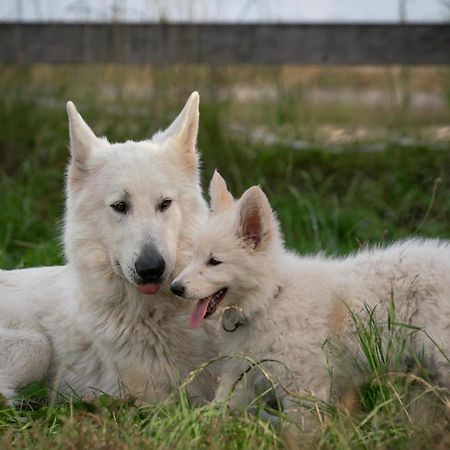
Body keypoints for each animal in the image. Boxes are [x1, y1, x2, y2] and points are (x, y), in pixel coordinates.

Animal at [0, 93, 218, 402]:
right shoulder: (154, 399)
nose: (151, 269)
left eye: (164, 203)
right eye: (120, 206)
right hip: (35, 346)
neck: (152, 315)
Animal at [171, 171, 450, 412]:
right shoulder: (241, 372)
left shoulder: (304, 387)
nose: (175, 288)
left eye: (214, 262)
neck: (269, 299)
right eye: (194, 256)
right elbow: (218, 412)